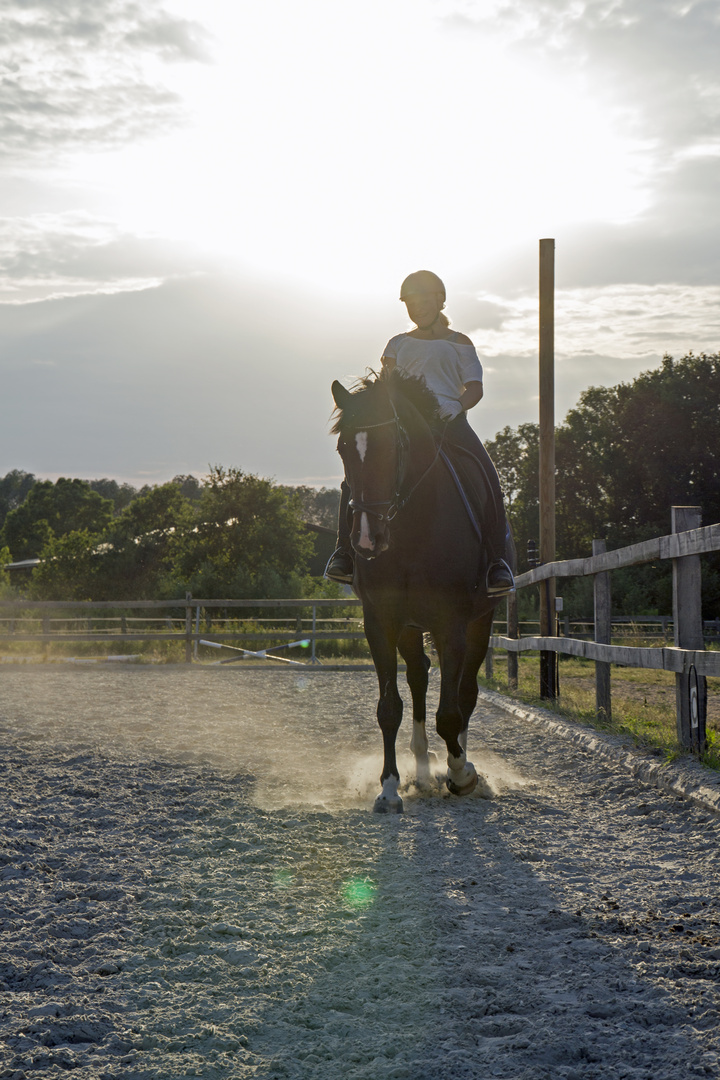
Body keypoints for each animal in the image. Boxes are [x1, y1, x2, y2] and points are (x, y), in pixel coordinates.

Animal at [330, 369, 509, 812]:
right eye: (344, 449)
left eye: (393, 445)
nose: (367, 539)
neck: (413, 528)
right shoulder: (380, 622)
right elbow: (389, 708)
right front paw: (389, 788)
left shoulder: (453, 624)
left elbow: (451, 712)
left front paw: (462, 775)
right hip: (410, 628)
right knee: (419, 676)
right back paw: (424, 770)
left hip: (481, 621)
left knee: (465, 693)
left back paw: (457, 766)